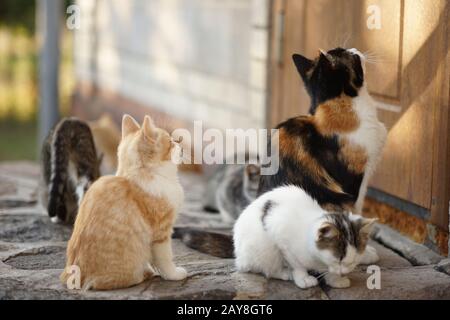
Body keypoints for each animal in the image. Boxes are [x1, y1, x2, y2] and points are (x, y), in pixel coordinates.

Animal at [60, 114, 186, 290]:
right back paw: (144, 274)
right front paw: (174, 275)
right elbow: (165, 259)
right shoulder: (161, 233)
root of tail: (75, 277)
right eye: (170, 142)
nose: (181, 145)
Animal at [234, 184, 378, 288]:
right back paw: (284, 273)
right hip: (263, 248)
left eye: (355, 260)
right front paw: (303, 278)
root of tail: (240, 260)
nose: (344, 272)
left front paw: (335, 279)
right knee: (266, 268)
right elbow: (297, 264)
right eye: (338, 259)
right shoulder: (281, 237)